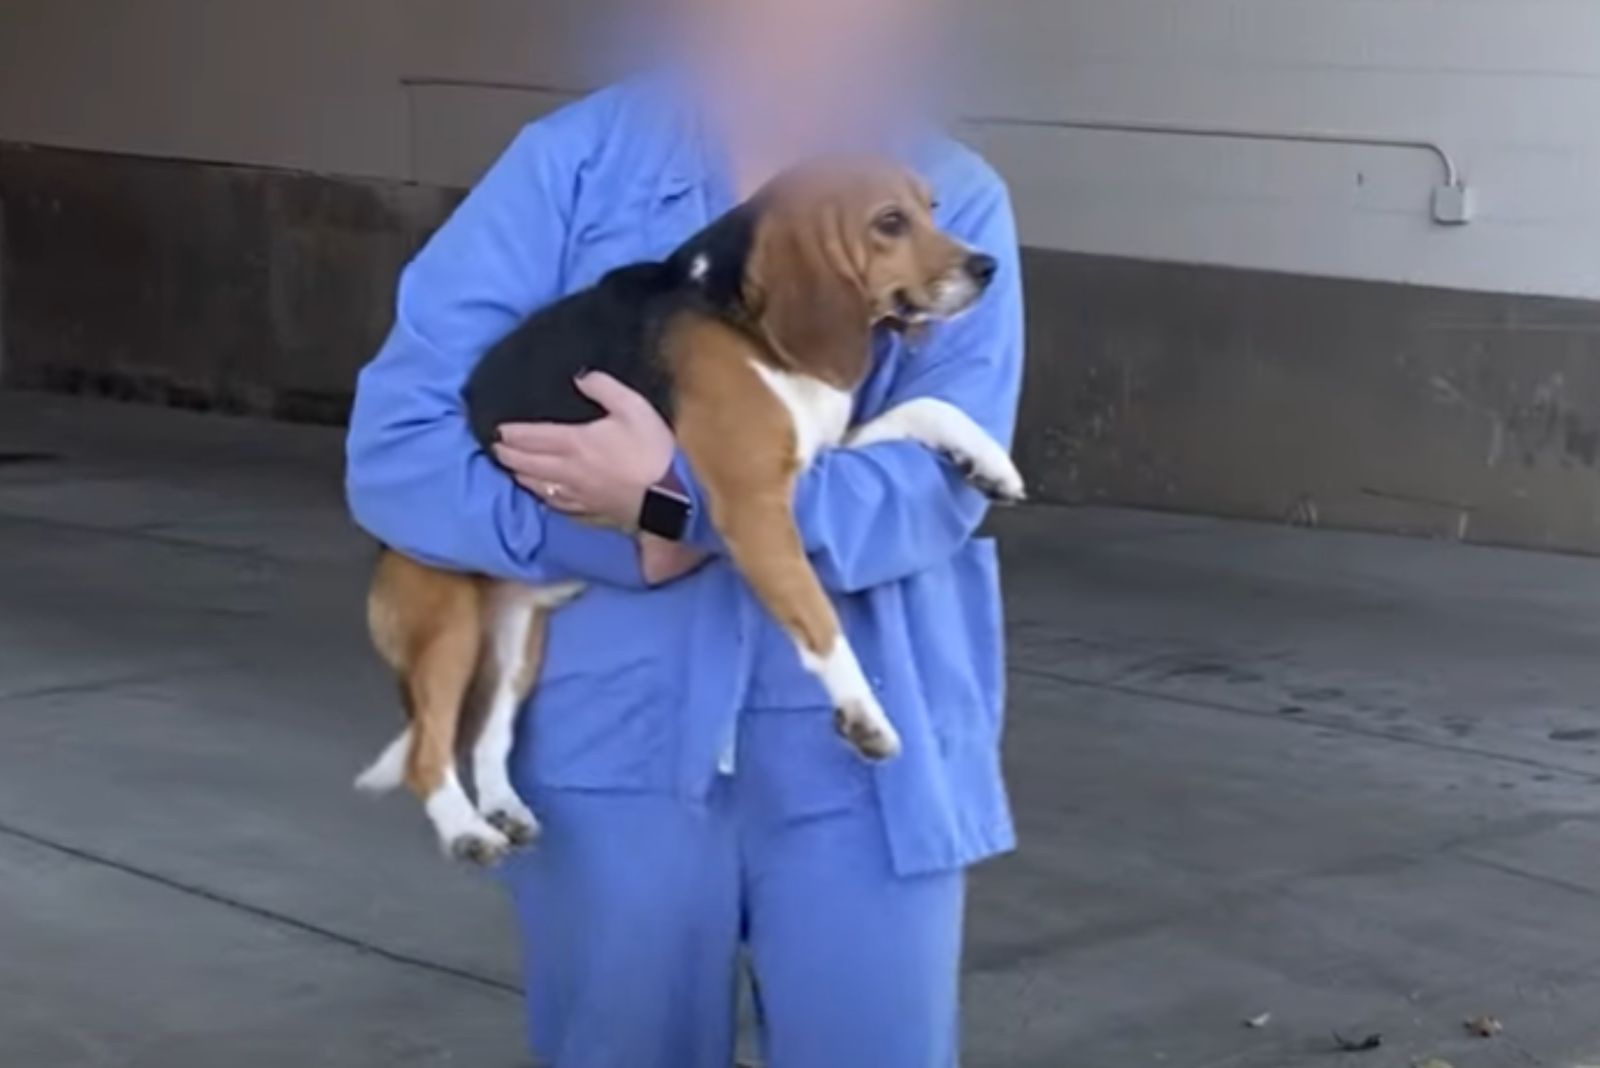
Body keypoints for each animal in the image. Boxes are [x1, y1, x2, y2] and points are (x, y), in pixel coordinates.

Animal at [355, 156, 1024, 856]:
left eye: (933, 208)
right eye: (890, 222)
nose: (987, 267)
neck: (742, 320)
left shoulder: (821, 452)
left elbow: (927, 407)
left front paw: (986, 461)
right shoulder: (754, 506)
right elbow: (819, 621)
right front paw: (863, 713)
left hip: (519, 643)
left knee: (490, 732)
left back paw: (502, 807)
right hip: (447, 622)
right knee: (427, 750)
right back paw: (464, 829)